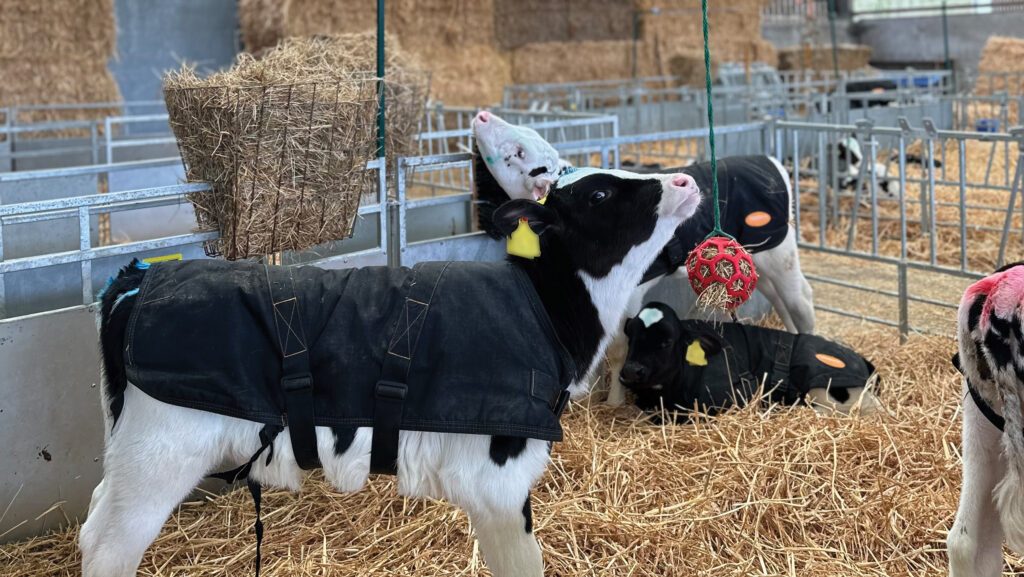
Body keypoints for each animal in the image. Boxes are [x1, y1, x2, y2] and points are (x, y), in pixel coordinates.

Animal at [79, 165, 704, 573]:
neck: (544, 311)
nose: (685, 181)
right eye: (599, 192)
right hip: (159, 455)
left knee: (92, 523)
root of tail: (139, 277)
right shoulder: (499, 483)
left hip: (129, 452)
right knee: (110, 546)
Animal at [471, 109, 815, 405]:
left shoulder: (632, 291)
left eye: (518, 153)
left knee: (801, 298)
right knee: (778, 298)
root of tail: (771, 162)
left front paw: (613, 399)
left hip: (780, 251)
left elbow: (619, 347)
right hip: (756, 260)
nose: (482, 115)